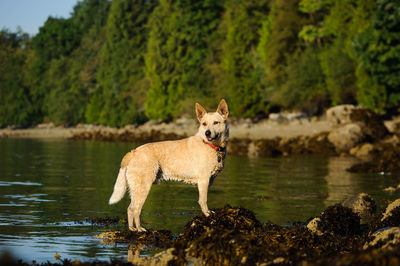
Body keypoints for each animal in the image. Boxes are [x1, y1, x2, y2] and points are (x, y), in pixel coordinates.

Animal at [108, 99, 230, 231]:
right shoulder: (204, 180)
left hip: (135, 188)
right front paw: (207, 214)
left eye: (216, 122)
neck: (211, 146)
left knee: (130, 208)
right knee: (136, 210)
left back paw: (132, 229)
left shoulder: (209, 180)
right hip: (144, 187)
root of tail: (133, 152)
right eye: (204, 124)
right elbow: (203, 200)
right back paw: (140, 229)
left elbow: (203, 199)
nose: (207, 133)